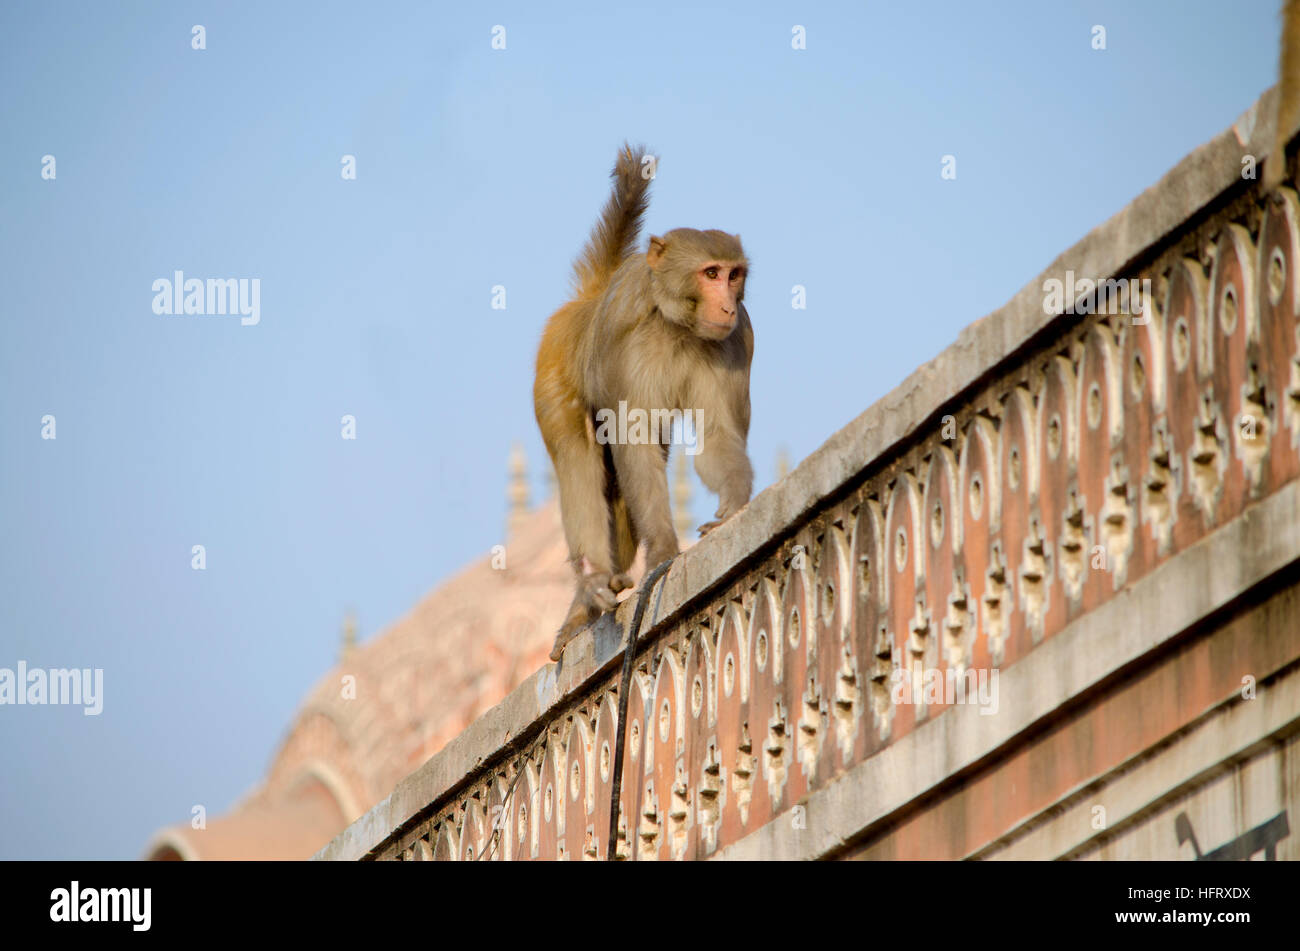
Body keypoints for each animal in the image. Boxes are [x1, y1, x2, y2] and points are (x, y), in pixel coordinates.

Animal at [530, 144, 754, 659]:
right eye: (710, 273)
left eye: (734, 275)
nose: (727, 305)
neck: (677, 326)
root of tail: (589, 301)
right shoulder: (629, 344)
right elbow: (632, 441)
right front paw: (666, 551)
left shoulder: (735, 344)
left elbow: (716, 435)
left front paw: (733, 506)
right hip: (551, 370)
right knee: (578, 464)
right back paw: (588, 594)